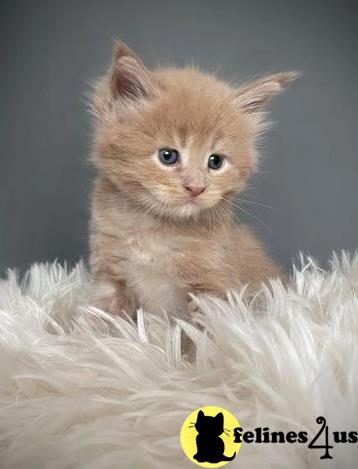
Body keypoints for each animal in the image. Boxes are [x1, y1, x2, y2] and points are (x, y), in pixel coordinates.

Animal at [89, 42, 296, 316]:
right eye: (168, 156)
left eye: (215, 161)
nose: (196, 188)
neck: (155, 232)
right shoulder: (109, 273)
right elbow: (104, 320)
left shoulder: (212, 287)